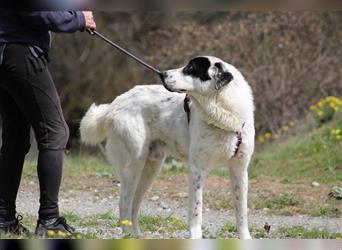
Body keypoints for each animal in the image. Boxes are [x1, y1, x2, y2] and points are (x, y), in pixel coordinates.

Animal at [80, 55, 255, 239]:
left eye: (190, 69)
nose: (162, 74)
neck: (225, 116)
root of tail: (114, 104)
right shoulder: (197, 170)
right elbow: (196, 210)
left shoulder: (240, 171)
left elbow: (241, 212)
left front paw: (245, 238)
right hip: (133, 166)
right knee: (124, 204)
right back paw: (128, 236)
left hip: (149, 169)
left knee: (134, 205)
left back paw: (137, 236)